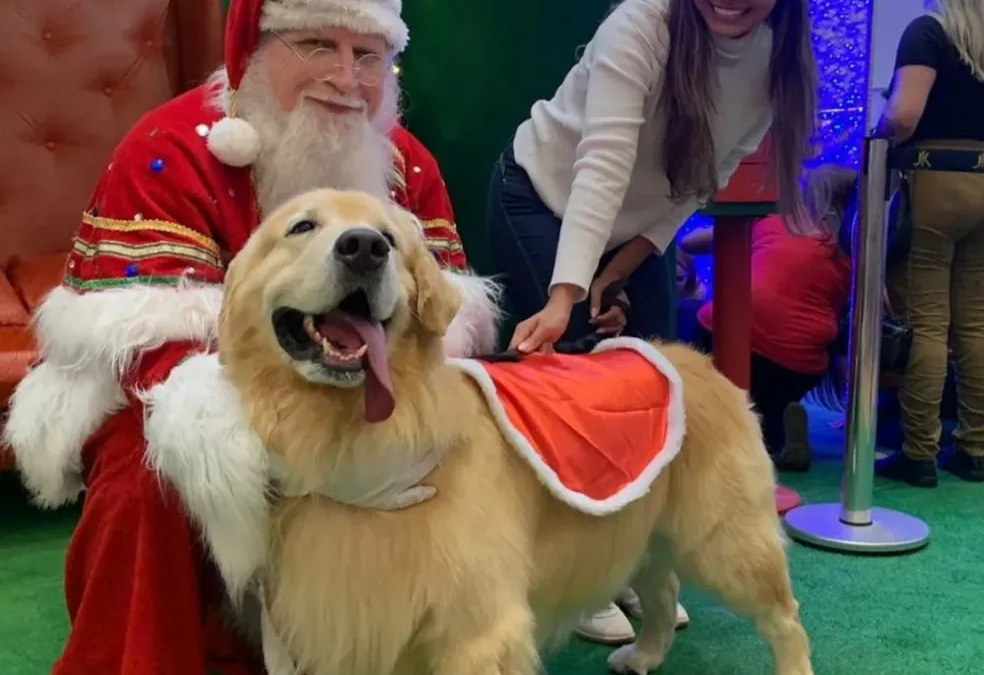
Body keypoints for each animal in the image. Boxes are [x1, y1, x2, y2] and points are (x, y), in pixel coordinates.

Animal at [146, 189, 812, 675]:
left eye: (391, 238)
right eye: (302, 227)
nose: (363, 248)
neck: (360, 437)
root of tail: (696, 360)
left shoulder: (477, 629)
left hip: (726, 540)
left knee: (785, 616)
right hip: (641, 526)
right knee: (663, 584)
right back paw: (644, 655)